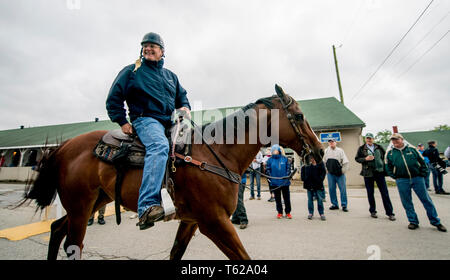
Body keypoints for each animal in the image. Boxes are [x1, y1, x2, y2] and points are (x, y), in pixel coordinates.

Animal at [21, 84, 324, 260]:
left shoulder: (190, 221)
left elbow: (176, 253)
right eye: (299, 116)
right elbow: (244, 257)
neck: (215, 154)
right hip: (81, 206)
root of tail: (65, 146)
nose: (320, 151)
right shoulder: (214, 223)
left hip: (93, 202)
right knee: (72, 243)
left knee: (56, 229)